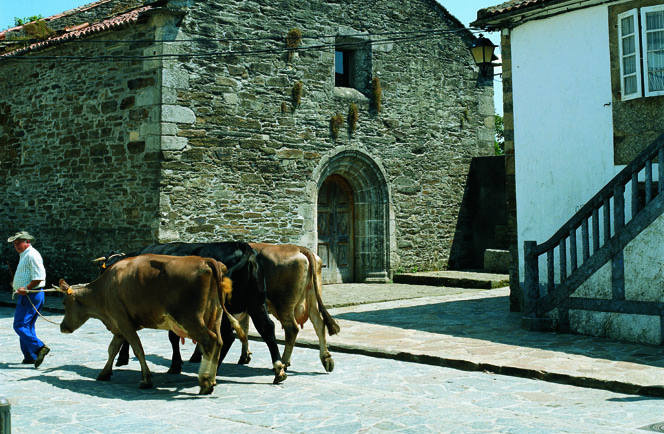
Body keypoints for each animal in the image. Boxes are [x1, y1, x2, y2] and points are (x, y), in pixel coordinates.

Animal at [59, 254, 244, 394]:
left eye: (64, 302)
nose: (62, 327)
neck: (104, 288)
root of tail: (206, 260)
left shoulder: (124, 322)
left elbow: (137, 349)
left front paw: (146, 380)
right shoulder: (119, 326)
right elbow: (112, 349)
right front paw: (104, 373)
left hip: (191, 320)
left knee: (209, 341)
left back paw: (205, 383)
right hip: (216, 317)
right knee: (219, 342)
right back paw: (211, 380)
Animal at [97, 242, 286, 384]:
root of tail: (242, 245)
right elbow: (172, 337)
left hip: (225, 310)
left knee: (226, 337)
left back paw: (212, 370)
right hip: (257, 303)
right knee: (267, 329)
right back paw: (279, 370)